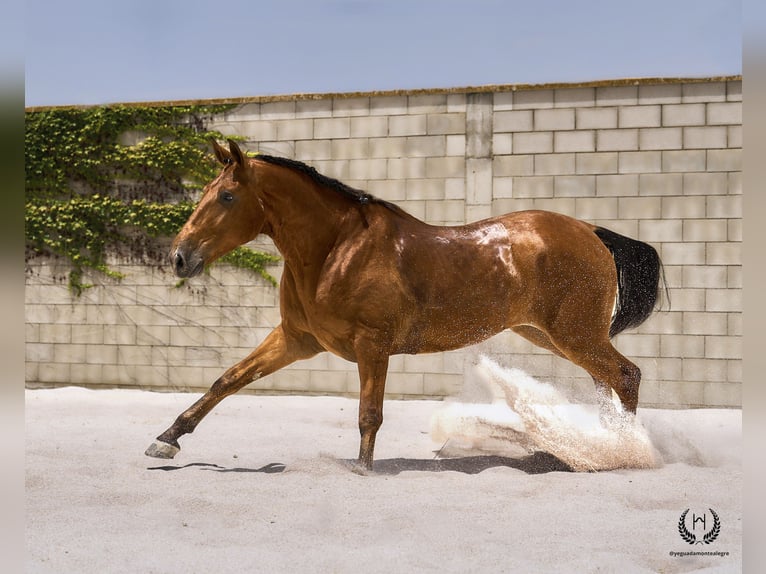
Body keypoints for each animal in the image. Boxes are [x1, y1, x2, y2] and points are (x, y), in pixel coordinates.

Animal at [146, 141, 664, 472]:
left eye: (226, 196)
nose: (179, 257)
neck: (336, 249)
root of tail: (591, 232)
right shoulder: (297, 339)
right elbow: (228, 380)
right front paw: (166, 441)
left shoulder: (372, 346)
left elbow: (369, 414)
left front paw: (362, 469)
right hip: (551, 334)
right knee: (606, 380)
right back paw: (595, 446)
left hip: (573, 333)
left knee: (626, 375)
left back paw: (624, 452)